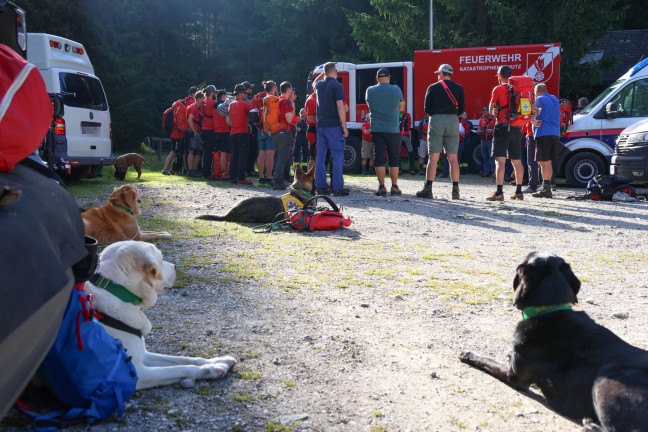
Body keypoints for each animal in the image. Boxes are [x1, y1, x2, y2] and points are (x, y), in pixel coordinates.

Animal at [86, 241, 237, 390]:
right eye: (160, 258)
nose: (175, 266)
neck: (117, 294)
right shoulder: (137, 373)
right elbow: (181, 368)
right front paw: (213, 369)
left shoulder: (144, 354)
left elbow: (182, 359)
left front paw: (218, 360)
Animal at [458, 251, 648, 430]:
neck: (548, 310)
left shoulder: (514, 376)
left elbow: (486, 360)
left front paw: (468, 354)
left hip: (605, 381)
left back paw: (589, 425)